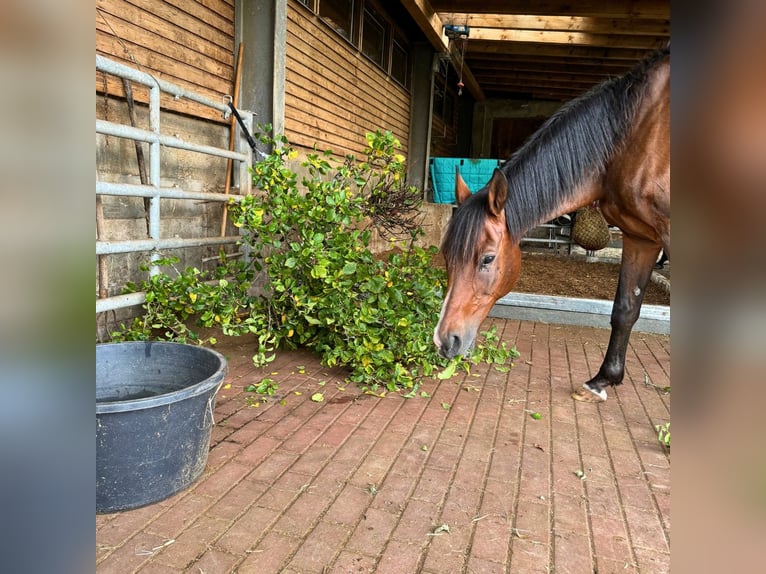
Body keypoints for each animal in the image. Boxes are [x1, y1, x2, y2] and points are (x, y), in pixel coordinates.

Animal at [436, 47, 668, 402]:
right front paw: (602, 381)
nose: (445, 341)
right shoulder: (641, 236)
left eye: (487, 259)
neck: (640, 132)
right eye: (445, 255)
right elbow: (625, 309)